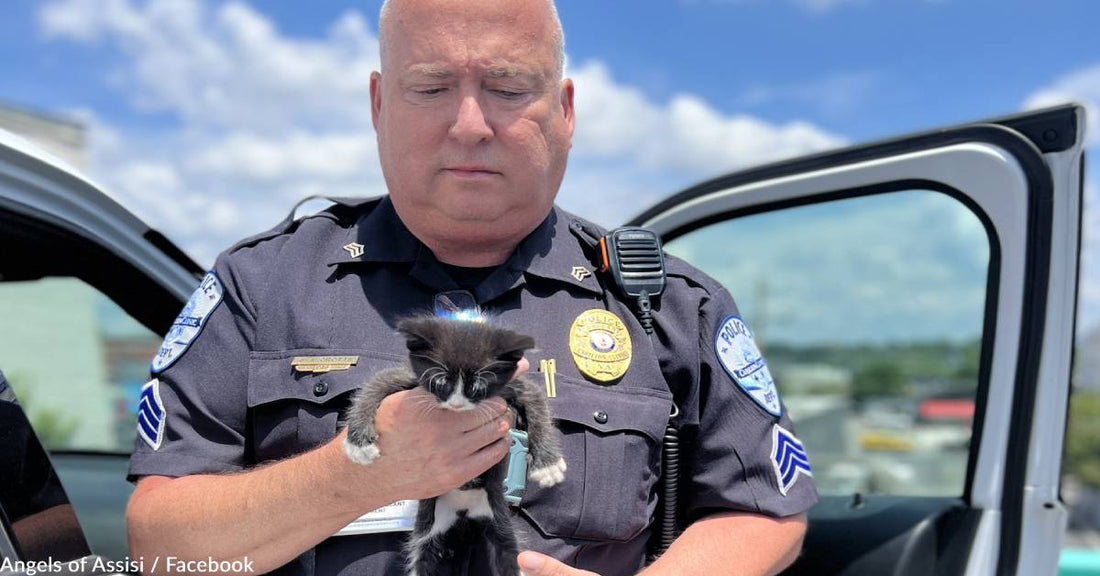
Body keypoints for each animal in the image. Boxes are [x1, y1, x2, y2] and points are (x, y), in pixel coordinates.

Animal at [343, 314, 567, 576]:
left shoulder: (515, 385)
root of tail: (465, 510)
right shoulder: (409, 375)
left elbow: (537, 406)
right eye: (440, 381)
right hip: (429, 528)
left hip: (498, 521)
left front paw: (548, 464)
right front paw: (358, 442)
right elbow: (375, 386)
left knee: (508, 551)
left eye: (479, 385)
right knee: (423, 557)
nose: (457, 403)